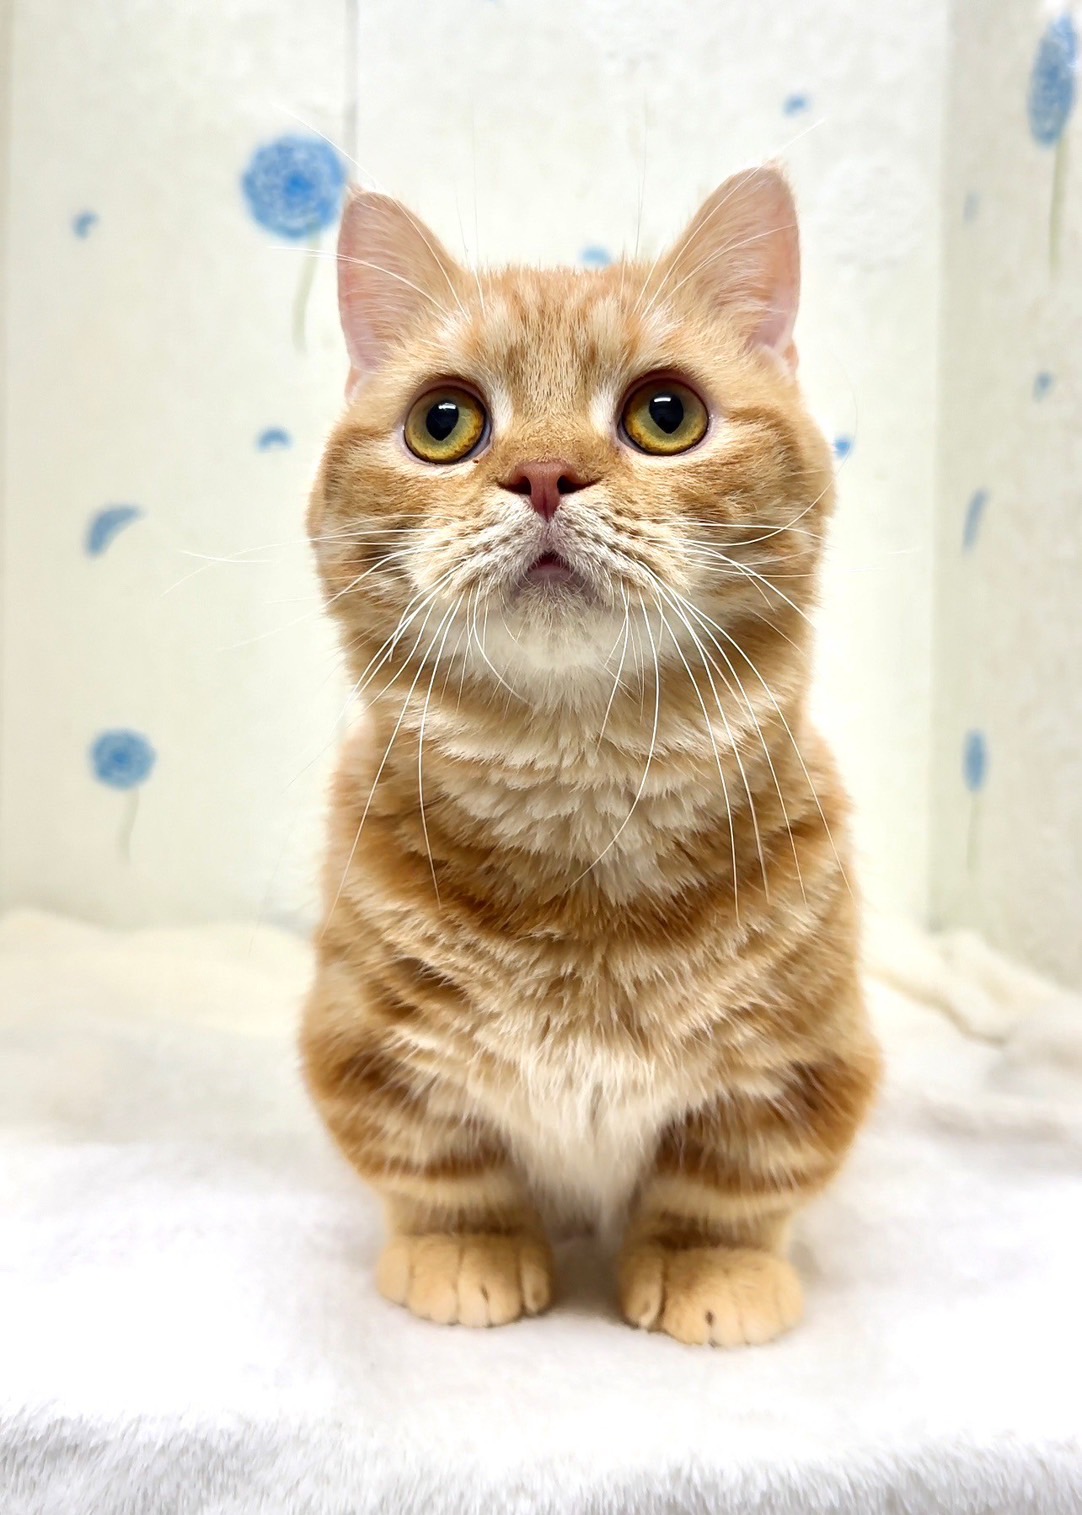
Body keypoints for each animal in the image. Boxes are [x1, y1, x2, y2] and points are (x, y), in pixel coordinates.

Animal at [301, 166, 880, 1347]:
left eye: (666, 414)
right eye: (443, 422)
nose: (543, 472)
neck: (579, 786)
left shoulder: (796, 1064)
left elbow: (726, 1184)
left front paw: (712, 1272)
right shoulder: (368, 1049)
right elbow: (443, 1165)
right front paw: (466, 1251)